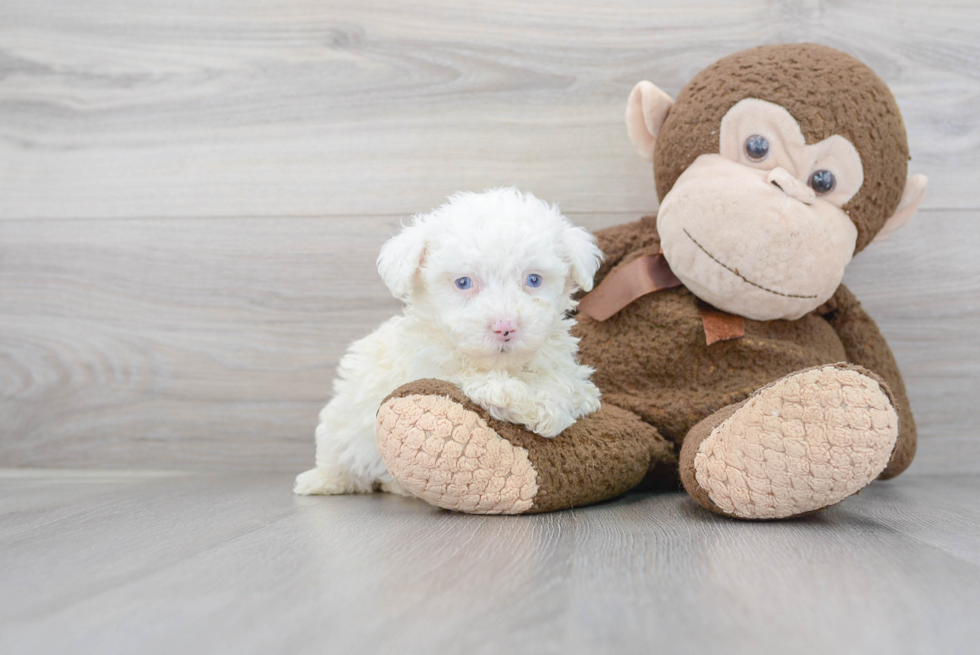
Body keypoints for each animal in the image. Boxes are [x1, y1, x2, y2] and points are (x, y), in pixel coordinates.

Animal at [296, 190, 604, 498]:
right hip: (342, 422)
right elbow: (460, 376)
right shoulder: (425, 366)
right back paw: (320, 481)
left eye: (534, 279)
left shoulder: (569, 371)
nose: (505, 326)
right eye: (463, 282)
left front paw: (545, 406)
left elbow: (570, 387)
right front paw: (505, 393)